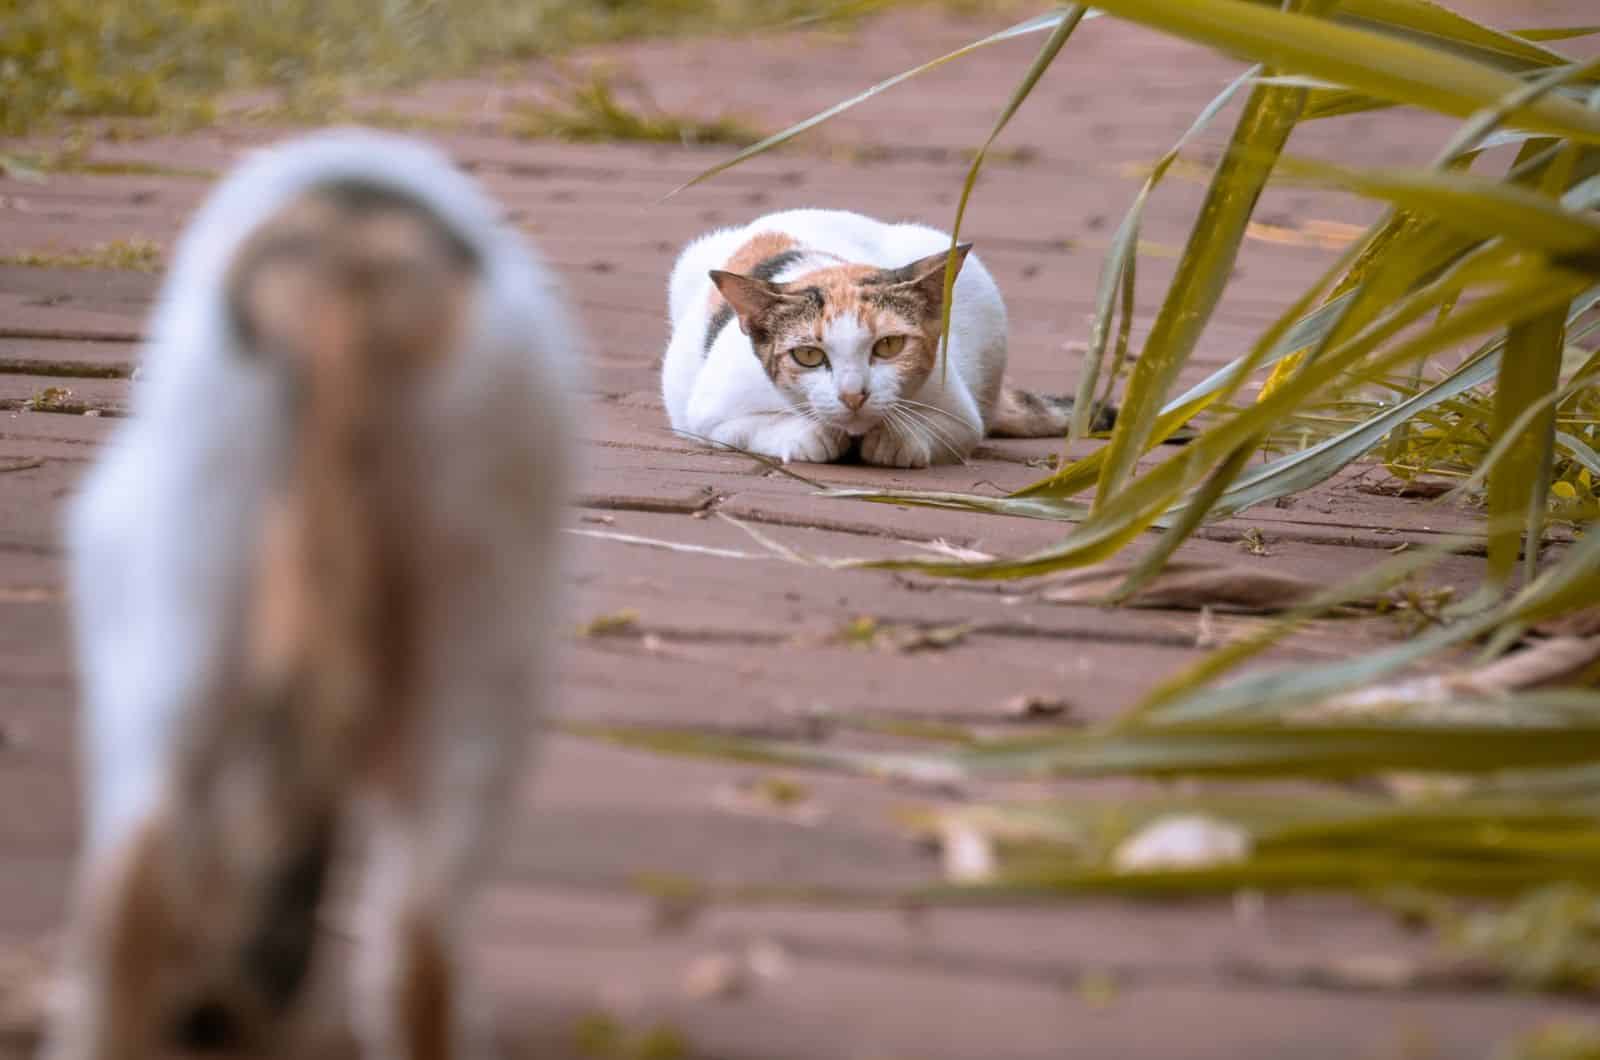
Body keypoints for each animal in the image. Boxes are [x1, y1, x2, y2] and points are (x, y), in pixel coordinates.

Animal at [656, 209, 1107, 467]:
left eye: (888, 346)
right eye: (808, 356)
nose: (853, 395)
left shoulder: (960, 412)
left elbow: (947, 430)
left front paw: (895, 440)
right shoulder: (709, 414)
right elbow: (751, 427)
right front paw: (811, 436)